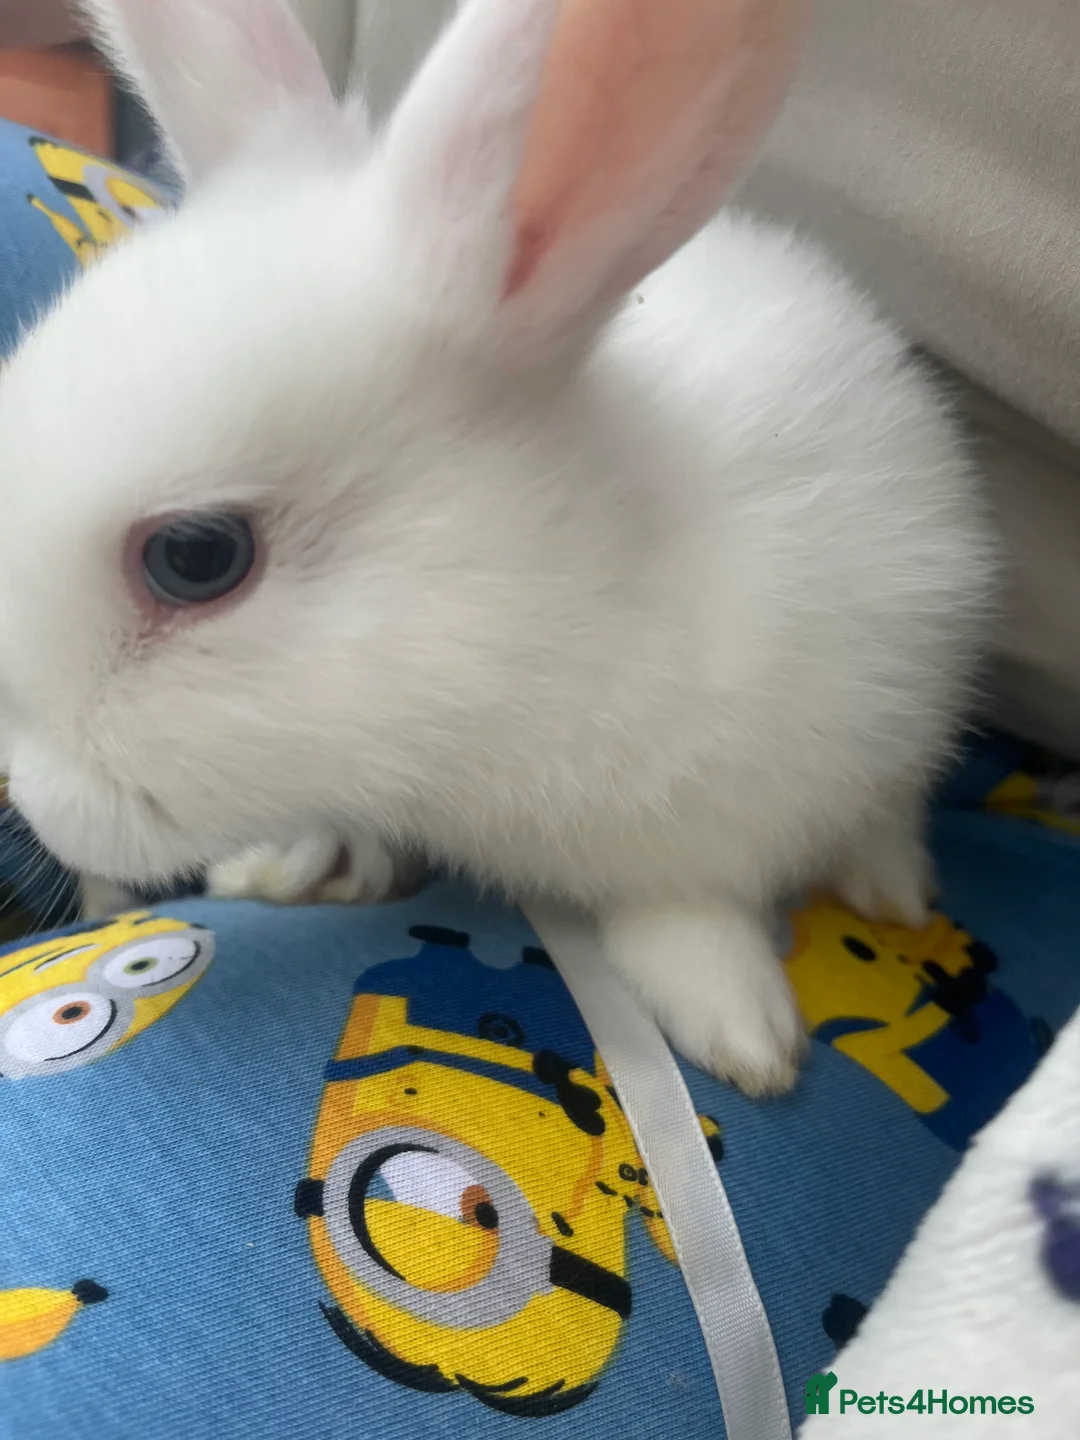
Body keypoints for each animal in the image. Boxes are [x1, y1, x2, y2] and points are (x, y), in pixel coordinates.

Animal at [0, 0, 994, 1096]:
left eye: (196, 555)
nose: (45, 815)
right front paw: (291, 865)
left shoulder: (732, 796)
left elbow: (691, 907)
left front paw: (740, 1032)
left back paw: (890, 887)